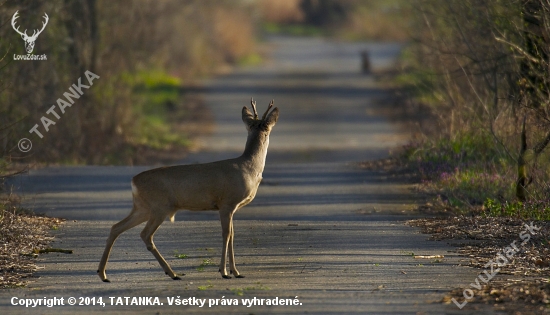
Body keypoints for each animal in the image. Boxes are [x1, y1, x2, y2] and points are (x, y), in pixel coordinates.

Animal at [97, 99, 280, 282]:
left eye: (260, 125)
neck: (249, 168)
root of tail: (133, 181)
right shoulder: (226, 203)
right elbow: (226, 234)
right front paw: (224, 272)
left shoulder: (231, 207)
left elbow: (233, 235)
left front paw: (236, 271)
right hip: (159, 206)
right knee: (145, 234)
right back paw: (173, 273)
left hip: (143, 207)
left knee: (116, 227)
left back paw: (103, 274)